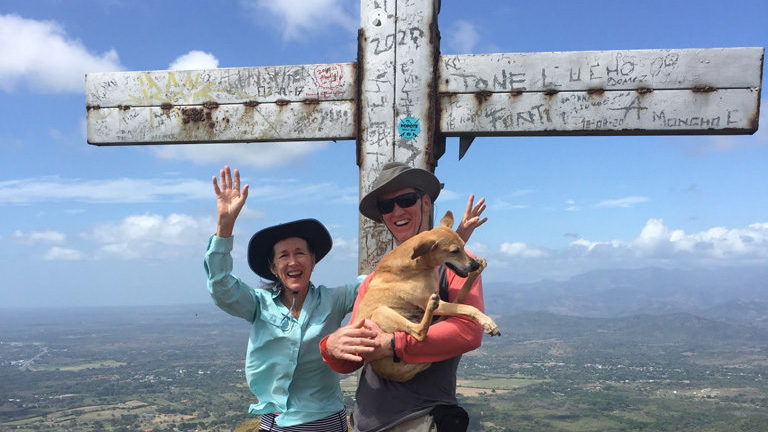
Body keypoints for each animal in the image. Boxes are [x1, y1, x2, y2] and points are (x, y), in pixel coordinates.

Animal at [356, 211, 500, 380]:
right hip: (381, 312)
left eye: (464, 246)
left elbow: (462, 303)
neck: (417, 263)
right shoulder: (432, 301)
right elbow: (469, 308)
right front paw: (488, 323)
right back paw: (433, 306)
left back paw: (475, 274)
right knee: (419, 333)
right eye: (454, 251)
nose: (474, 265)